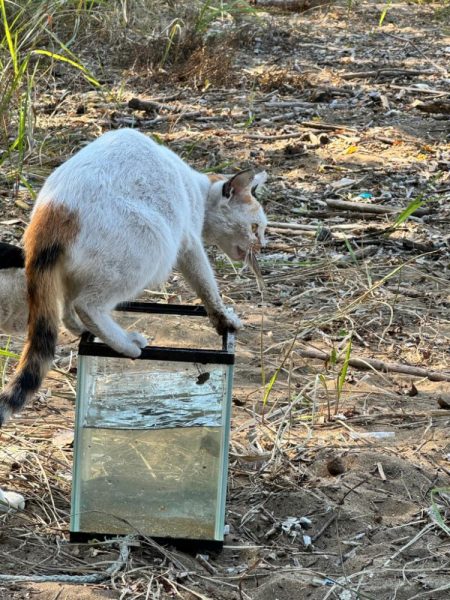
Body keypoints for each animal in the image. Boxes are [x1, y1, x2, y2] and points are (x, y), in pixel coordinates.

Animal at [0, 129, 268, 424]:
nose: (263, 245)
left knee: (68, 309)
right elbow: (207, 285)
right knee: (86, 305)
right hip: (151, 243)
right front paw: (224, 319)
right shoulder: (189, 243)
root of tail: (51, 213)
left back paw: (84, 331)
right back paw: (126, 344)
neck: (197, 189)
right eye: (256, 227)